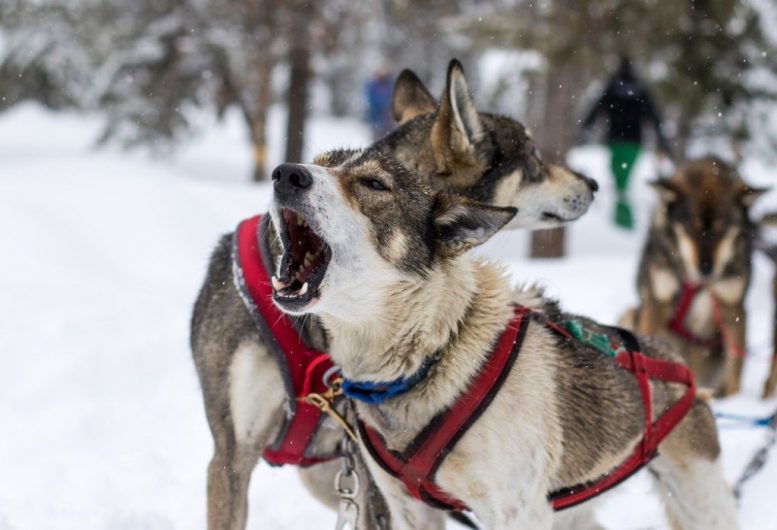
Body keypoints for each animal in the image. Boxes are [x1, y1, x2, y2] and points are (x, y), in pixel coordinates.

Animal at [272, 154, 740, 528]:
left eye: (373, 184)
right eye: (320, 160)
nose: (285, 173)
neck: (436, 351)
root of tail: (674, 362)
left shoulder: (518, 512)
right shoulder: (409, 508)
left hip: (700, 498)